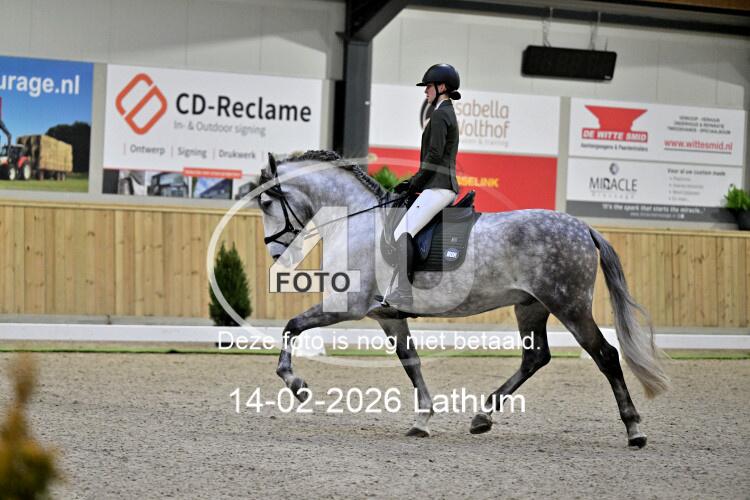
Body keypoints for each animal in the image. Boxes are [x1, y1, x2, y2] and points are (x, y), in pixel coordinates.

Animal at [245, 150, 669, 447]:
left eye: (266, 203)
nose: (275, 253)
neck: (358, 220)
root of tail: (583, 227)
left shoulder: (346, 305)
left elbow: (291, 326)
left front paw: (296, 384)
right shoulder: (387, 316)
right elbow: (411, 362)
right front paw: (422, 420)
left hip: (569, 305)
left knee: (606, 355)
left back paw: (634, 430)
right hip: (530, 305)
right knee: (535, 358)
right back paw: (483, 417)